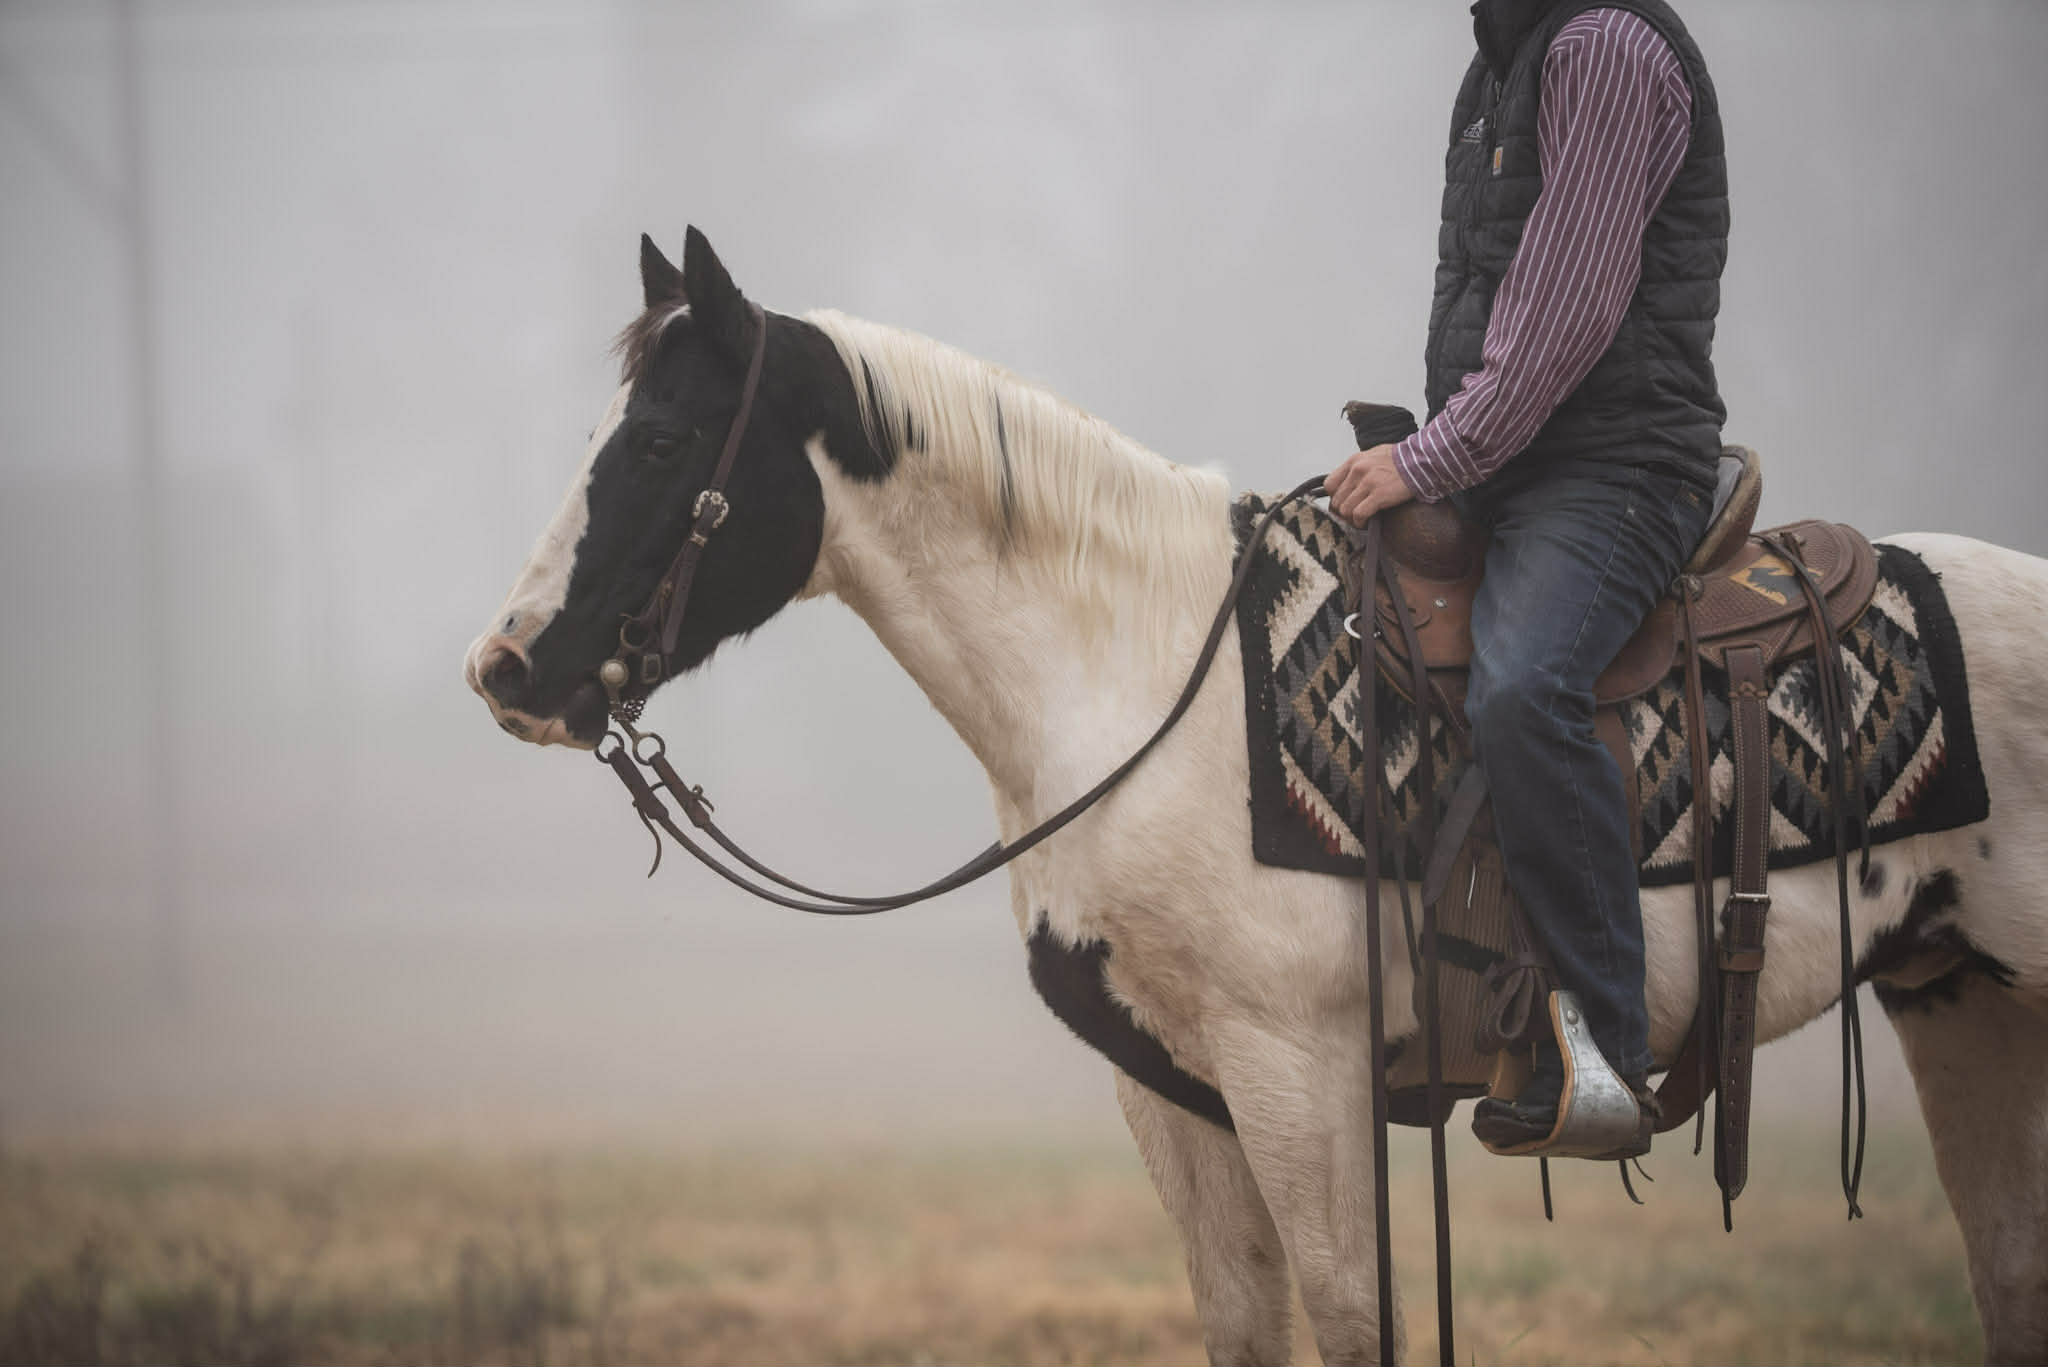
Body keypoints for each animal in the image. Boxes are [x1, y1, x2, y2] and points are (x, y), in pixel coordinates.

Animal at [464, 227, 2048, 1365]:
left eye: (661, 442)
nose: (507, 664)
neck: (1138, 675)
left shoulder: (1302, 1077)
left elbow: (1352, 1326)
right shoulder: (1176, 1088)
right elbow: (1243, 1323)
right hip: (1960, 1003)